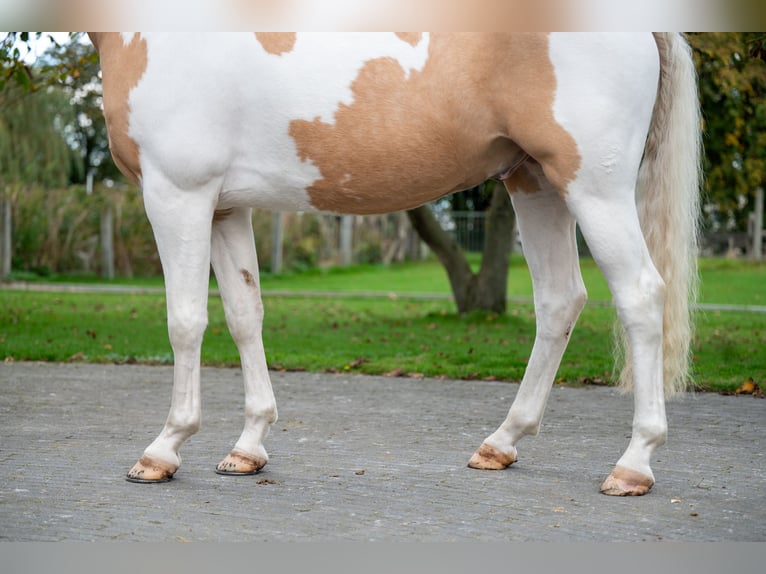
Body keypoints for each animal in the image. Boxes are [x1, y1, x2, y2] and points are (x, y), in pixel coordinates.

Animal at [90, 33, 704, 498]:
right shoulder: (225, 206)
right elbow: (245, 316)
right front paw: (248, 447)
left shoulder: (179, 194)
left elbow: (185, 321)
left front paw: (163, 449)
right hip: (534, 182)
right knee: (559, 301)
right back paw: (501, 443)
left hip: (593, 188)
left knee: (640, 296)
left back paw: (633, 464)